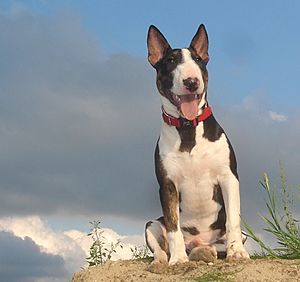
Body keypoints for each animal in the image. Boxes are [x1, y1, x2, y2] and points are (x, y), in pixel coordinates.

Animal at [144, 23, 250, 264]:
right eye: (170, 61)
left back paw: (207, 250)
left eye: (199, 60)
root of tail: (197, 241)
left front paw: (237, 252)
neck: (187, 129)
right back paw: (163, 261)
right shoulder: (168, 184)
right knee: (161, 247)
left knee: (217, 244)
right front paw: (178, 259)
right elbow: (173, 227)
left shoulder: (228, 177)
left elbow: (233, 219)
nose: (191, 82)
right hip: (152, 224)